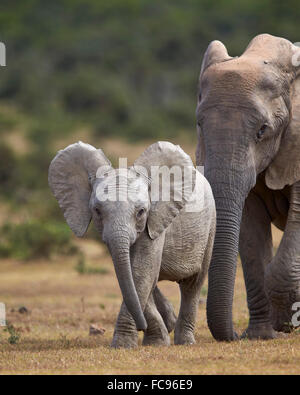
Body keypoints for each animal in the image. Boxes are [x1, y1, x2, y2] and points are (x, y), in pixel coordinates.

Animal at [48, 141, 216, 348]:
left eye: (141, 211)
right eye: (97, 211)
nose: (141, 326)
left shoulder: (155, 220)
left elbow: (140, 271)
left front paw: (124, 344)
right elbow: (135, 275)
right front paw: (156, 341)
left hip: (210, 226)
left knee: (192, 284)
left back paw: (185, 341)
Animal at [196, 34, 300, 342]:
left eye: (262, 130)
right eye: (199, 124)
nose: (234, 335)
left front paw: (284, 323)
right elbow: (251, 234)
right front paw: (262, 335)